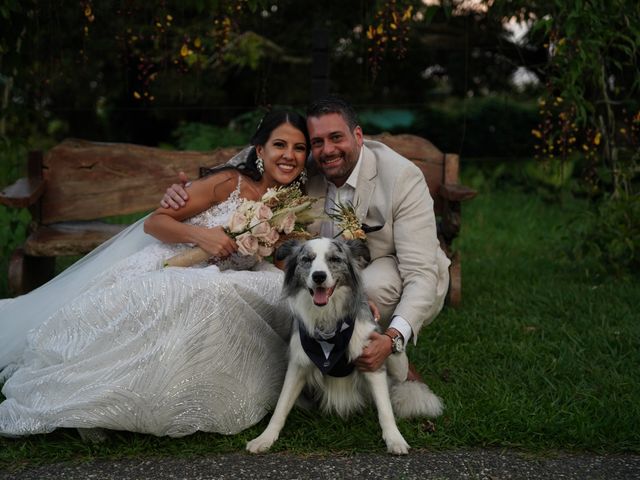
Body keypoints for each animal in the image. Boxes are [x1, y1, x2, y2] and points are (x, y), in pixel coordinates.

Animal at [246, 236, 444, 454]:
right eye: (306, 259)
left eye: (334, 259)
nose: (319, 276)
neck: (329, 324)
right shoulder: (298, 365)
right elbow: (281, 405)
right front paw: (265, 438)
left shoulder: (371, 360)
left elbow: (385, 409)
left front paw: (395, 439)